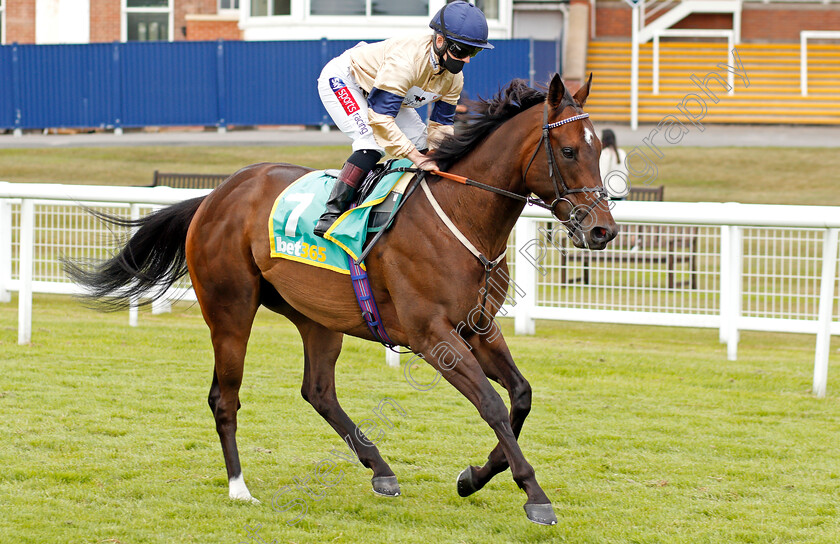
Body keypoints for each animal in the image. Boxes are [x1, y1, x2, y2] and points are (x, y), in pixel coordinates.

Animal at [65, 74, 616, 524]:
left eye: (598, 151)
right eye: (569, 151)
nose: (602, 230)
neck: (462, 214)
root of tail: (215, 195)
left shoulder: (477, 326)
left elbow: (520, 395)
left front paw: (475, 476)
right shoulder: (432, 336)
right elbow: (492, 404)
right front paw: (535, 495)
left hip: (317, 317)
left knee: (318, 390)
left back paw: (380, 469)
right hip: (230, 310)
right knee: (225, 396)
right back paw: (240, 488)